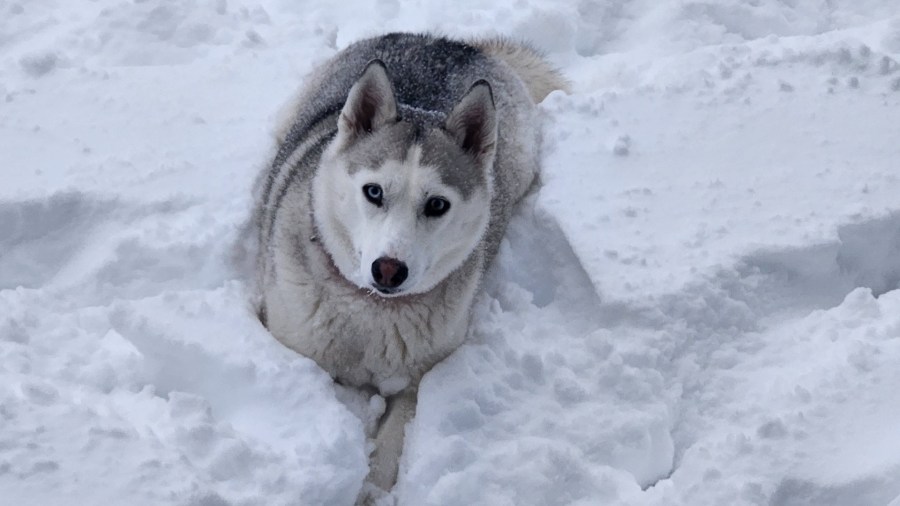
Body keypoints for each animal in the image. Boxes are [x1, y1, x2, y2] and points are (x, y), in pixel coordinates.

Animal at [243, 32, 568, 502]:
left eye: (437, 205)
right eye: (373, 191)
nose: (388, 270)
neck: (369, 311)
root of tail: (453, 44)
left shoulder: (418, 381)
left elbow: (392, 444)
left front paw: (370, 492)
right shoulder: (297, 349)